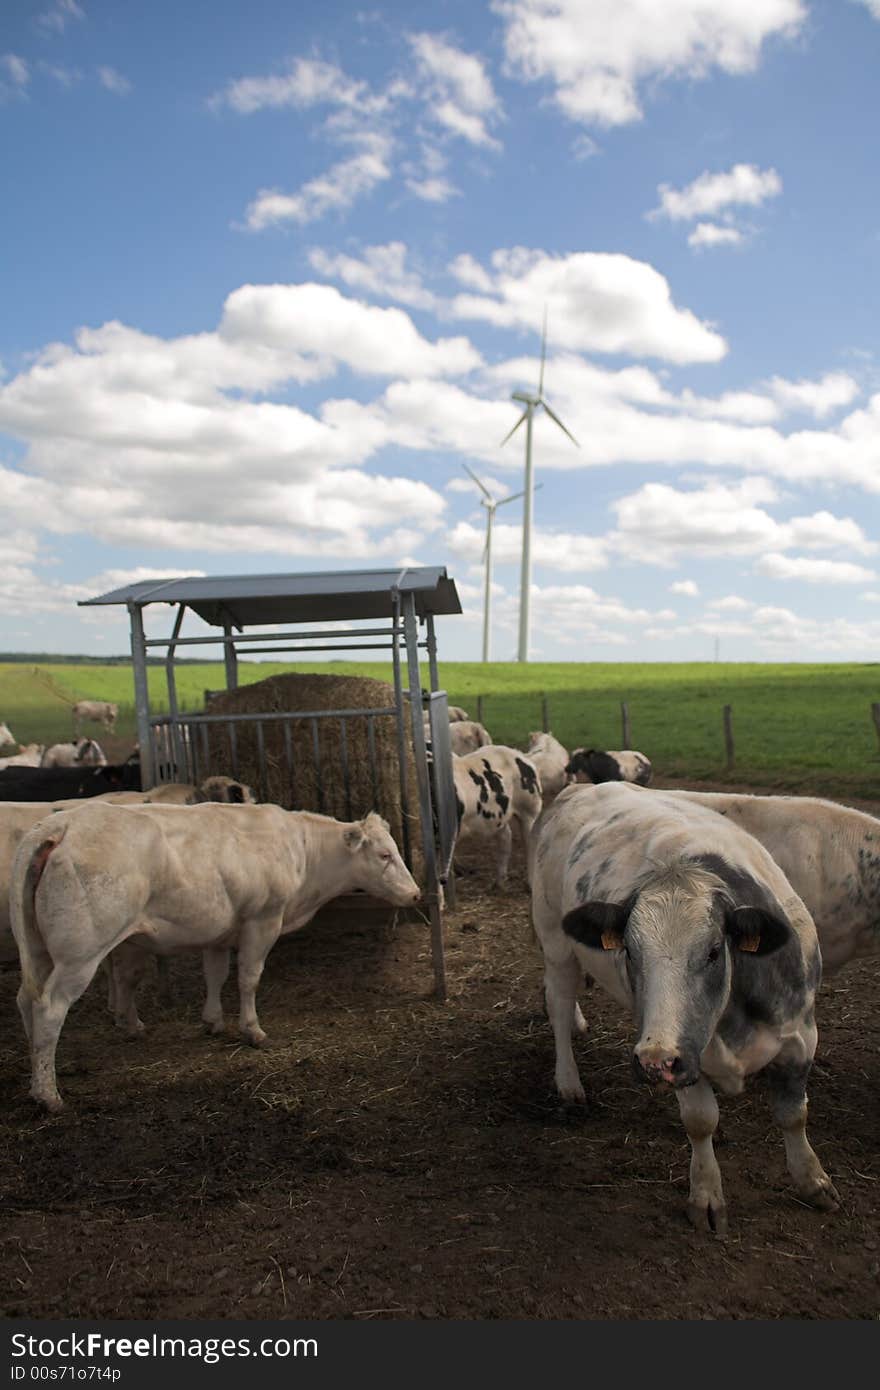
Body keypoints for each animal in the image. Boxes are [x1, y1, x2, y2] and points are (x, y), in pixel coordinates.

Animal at [10, 806, 419, 1106]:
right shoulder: (262, 921)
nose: (415, 894)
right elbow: (248, 977)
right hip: (80, 954)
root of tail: (60, 824)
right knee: (50, 1008)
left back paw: (36, 1075)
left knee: (27, 1001)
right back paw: (49, 1094)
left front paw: (213, 1020)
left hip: (39, 950)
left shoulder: (219, 931)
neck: (300, 849)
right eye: (384, 854)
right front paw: (252, 1029)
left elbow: (215, 974)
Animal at [453, 745, 542, 884]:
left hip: (530, 810)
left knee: (531, 843)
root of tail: (521, 755)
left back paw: (530, 883)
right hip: (500, 817)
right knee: (506, 837)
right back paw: (499, 882)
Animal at [528, 783, 839, 1239]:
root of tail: (580, 787)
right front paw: (706, 1196)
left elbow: (793, 1114)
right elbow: (700, 1121)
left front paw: (812, 1180)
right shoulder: (685, 1055)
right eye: (630, 951)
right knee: (560, 1005)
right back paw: (569, 1083)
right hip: (555, 941)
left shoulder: (801, 1036)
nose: (653, 1061)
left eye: (713, 952)